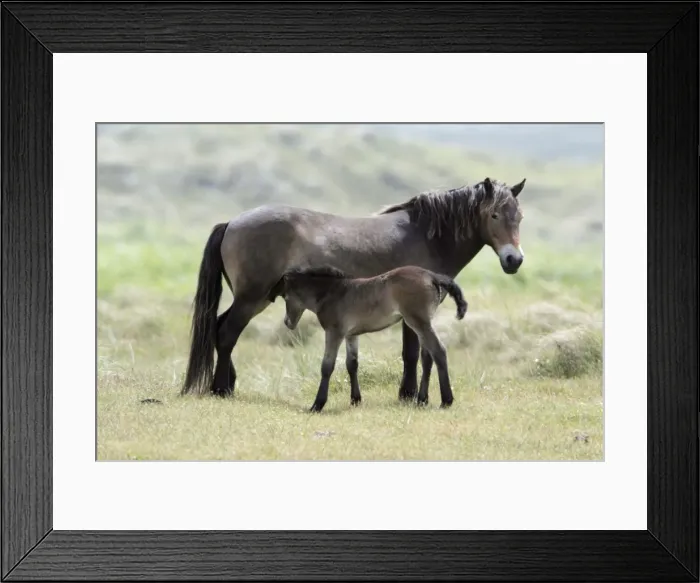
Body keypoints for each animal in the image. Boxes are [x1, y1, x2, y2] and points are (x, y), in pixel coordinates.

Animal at [268, 265, 468, 412]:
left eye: (285, 296)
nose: (287, 322)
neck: (332, 293)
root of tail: (432, 276)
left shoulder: (334, 332)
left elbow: (327, 366)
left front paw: (317, 404)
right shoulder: (351, 335)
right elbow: (352, 364)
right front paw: (355, 400)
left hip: (418, 322)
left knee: (438, 351)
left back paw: (446, 400)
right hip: (422, 323)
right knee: (428, 356)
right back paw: (422, 400)